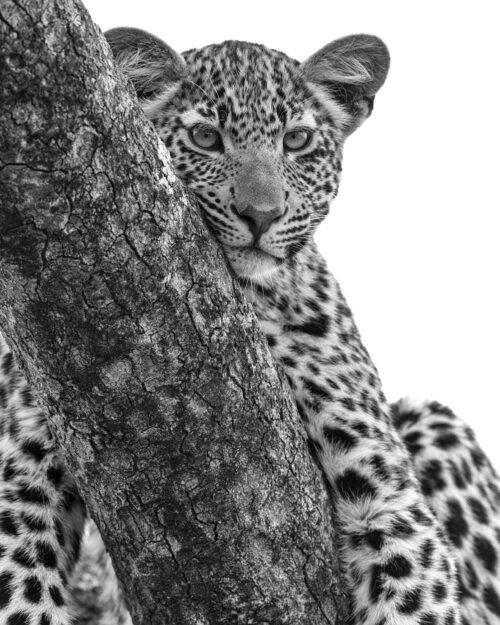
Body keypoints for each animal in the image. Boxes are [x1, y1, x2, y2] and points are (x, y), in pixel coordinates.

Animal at [0, 24, 498, 624]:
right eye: (206, 138)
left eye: (297, 142)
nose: (262, 215)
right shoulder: (25, 466)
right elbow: (21, 591)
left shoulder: (386, 492)